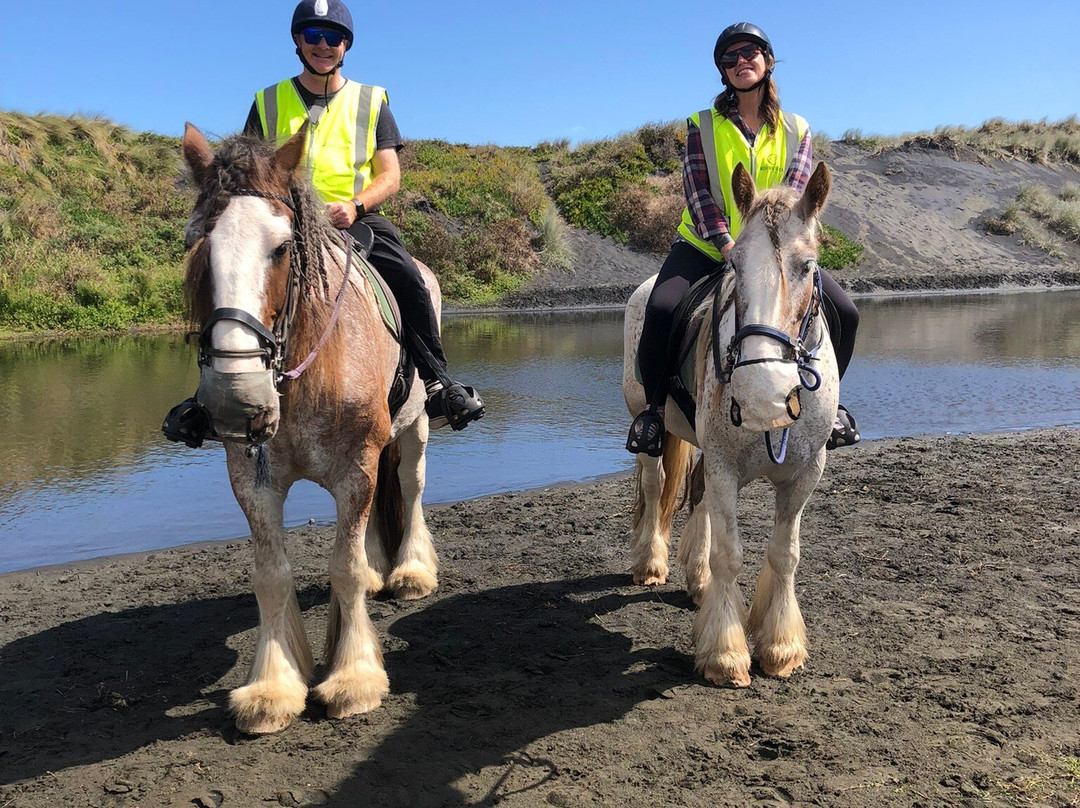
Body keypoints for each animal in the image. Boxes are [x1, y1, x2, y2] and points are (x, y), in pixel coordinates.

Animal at [180, 123, 439, 733]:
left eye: (280, 247)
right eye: (198, 245)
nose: (235, 396)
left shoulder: (355, 469)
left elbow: (343, 567)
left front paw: (353, 677)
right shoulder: (253, 480)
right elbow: (273, 575)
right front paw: (273, 687)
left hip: (414, 428)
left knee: (411, 487)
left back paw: (410, 571)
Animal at [622, 162, 839, 687]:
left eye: (808, 266)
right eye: (735, 264)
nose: (763, 393)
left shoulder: (805, 473)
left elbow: (785, 554)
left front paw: (780, 645)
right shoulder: (725, 466)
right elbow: (730, 554)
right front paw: (725, 653)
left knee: (697, 493)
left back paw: (698, 581)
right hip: (648, 426)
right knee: (656, 484)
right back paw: (650, 562)